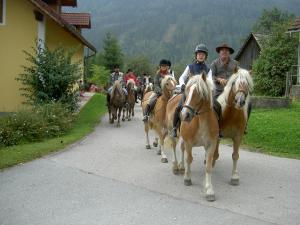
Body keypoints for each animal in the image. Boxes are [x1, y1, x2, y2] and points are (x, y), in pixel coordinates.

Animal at [164, 73, 218, 201]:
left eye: (199, 92)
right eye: (187, 90)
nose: (185, 115)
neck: (201, 121)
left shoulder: (211, 145)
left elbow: (208, 166)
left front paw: (209, 190)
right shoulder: (189, 142)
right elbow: (189, 159)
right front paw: (187, 179)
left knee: (182, 148)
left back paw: (181, 167)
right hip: (171, 131)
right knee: (174, 147)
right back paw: (175, 167)